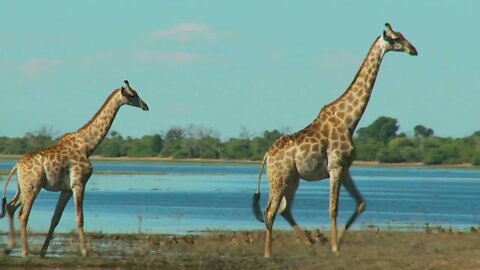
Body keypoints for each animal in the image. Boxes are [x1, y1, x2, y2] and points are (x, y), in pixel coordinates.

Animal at [0, 80, 148, 258]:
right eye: (132, 95)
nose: (145, 106)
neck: (88, 146)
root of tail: (16, 166)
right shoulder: (79, 183)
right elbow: (80, 218)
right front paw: (86, 251)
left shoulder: (66, 190)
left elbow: (55, 219)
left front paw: (43, 252)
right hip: (33, 187)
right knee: (23, 215)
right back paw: (24, 251)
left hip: (22, 187)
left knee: (10, 207)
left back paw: (9, 247)